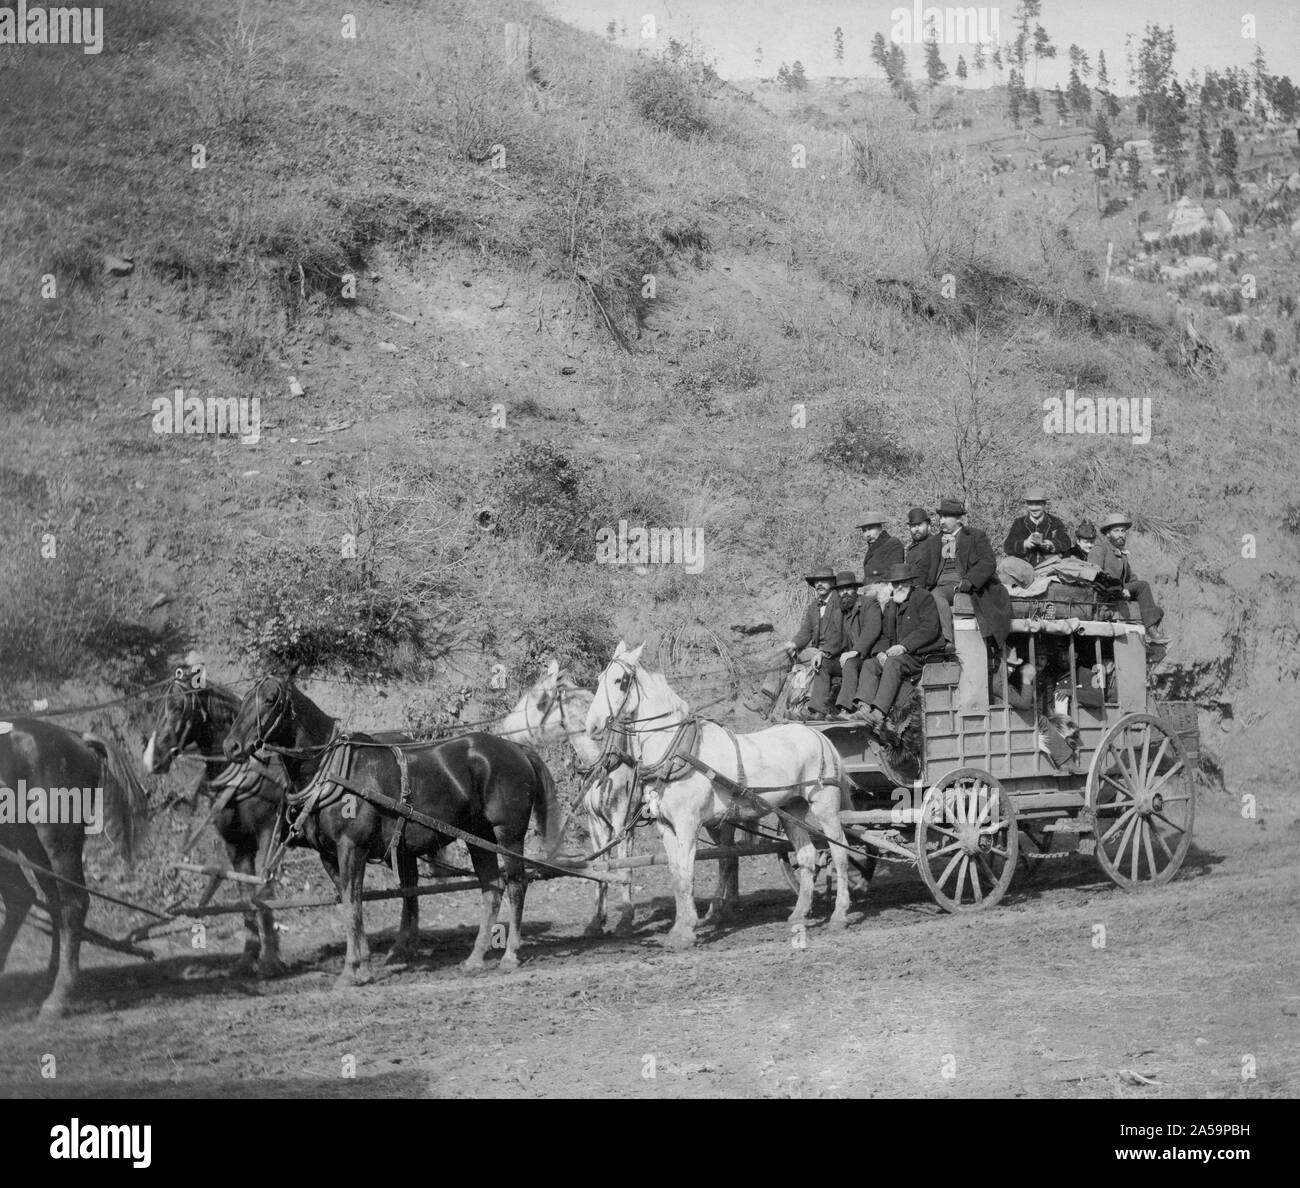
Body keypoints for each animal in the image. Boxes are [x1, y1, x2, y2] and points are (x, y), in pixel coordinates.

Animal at [0, 717, 149, 1013]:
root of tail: (76, 737)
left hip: (58, 842)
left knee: (73, 903)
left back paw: (59, 996)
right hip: (28, 845)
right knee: (40, 900)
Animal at [144, 670, 292, 977]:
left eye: (178, 706)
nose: (152, 759)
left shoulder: (267, 835)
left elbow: (264, 893)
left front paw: (271, 960)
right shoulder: (236, 845)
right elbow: (245, 895)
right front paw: (248, 957)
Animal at [226, 675, 561, 982]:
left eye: (270, 699)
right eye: (244, 700)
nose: (231, 746)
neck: (332, 768)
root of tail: (515, 749)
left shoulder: (352, 847)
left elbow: (353, 904)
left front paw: (351, 970)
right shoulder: (329, 855)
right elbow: (351, 902)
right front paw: (364, 964)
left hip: (508, 834)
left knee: (516, 884)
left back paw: (511, 954)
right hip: (478, 838)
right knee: (491, 888)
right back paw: (475, 957)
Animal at [590, 639, 852, 946]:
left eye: (619, 681)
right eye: (599, 678)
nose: (592, 725)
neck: (677, 750)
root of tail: (818, 735)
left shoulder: (688, 824)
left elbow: (688, 873)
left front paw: (688, 930)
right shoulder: (666, 826)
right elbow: (676, 875)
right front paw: (678, 929)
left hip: (824, 805)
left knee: (839, 851)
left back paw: (839, 915)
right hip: (791, 810)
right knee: (808, 855)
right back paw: (799, 913)